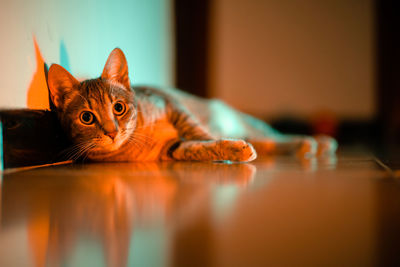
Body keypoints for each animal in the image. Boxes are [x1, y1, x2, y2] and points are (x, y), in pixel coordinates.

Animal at [47, 47, 336, 163]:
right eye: (87, 118)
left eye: (119, 108)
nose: (111, 131)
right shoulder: (171, 149)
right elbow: (196, 148)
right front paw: (229, 149)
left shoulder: (172, 105)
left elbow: (200, 134)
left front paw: (223, 144)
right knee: (267, 143)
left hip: (248, 123)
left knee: (272, 136)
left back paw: (316, 142)